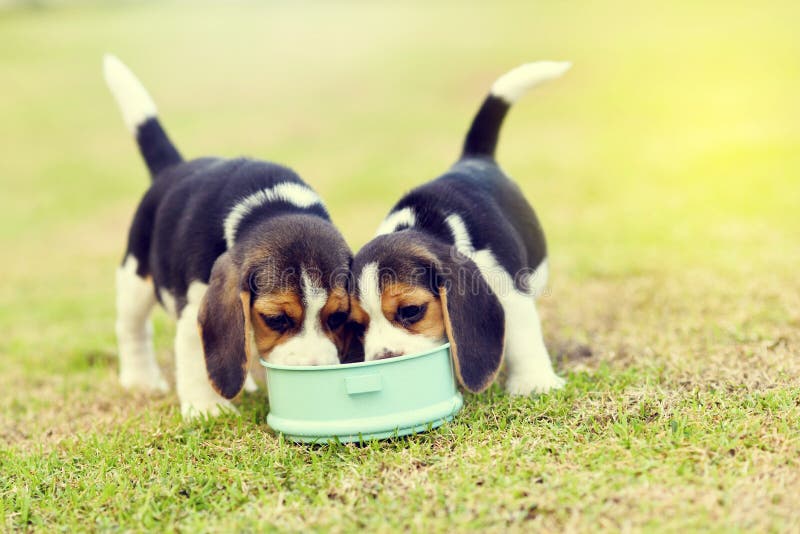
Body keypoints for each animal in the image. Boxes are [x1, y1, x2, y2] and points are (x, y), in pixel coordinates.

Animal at [104, 56, 354, 420]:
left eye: (337, 317)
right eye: (276, 319)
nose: (314, 371)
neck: (271, 206)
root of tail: (172, 168)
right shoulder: (196, 303)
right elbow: (196, 361)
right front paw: (207, 409)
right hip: (135, 276)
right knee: (132, 328)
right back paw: (141, 380)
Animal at [352, 61, 568, 398]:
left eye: (411, 311)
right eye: (356, 325)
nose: (385, 358)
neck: (427, 226)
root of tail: (473, 157)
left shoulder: (508, 289)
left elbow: (522, 337)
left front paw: (533, 382)